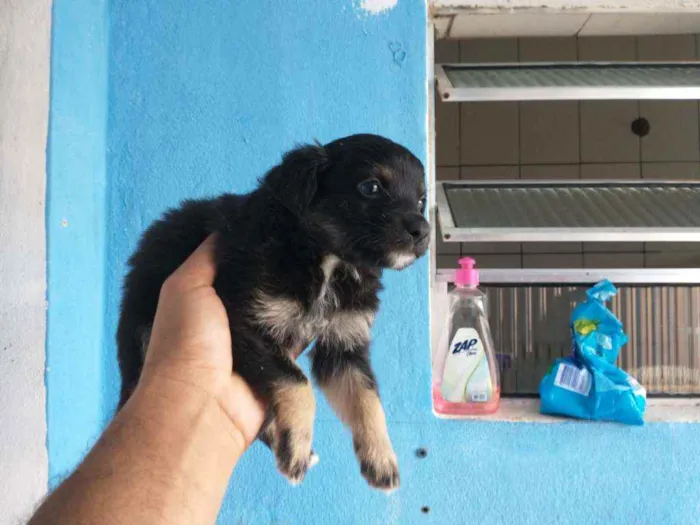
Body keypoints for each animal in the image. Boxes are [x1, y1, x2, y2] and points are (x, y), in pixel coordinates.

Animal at [117, 132, 430, 492]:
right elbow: (297, 382)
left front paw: (381, 459)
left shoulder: (343, 347)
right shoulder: (244, 318)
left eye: (421, 200)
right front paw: (296, 446)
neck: (328, 261)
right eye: (371, 187)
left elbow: (367, 399)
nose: (423, 231)